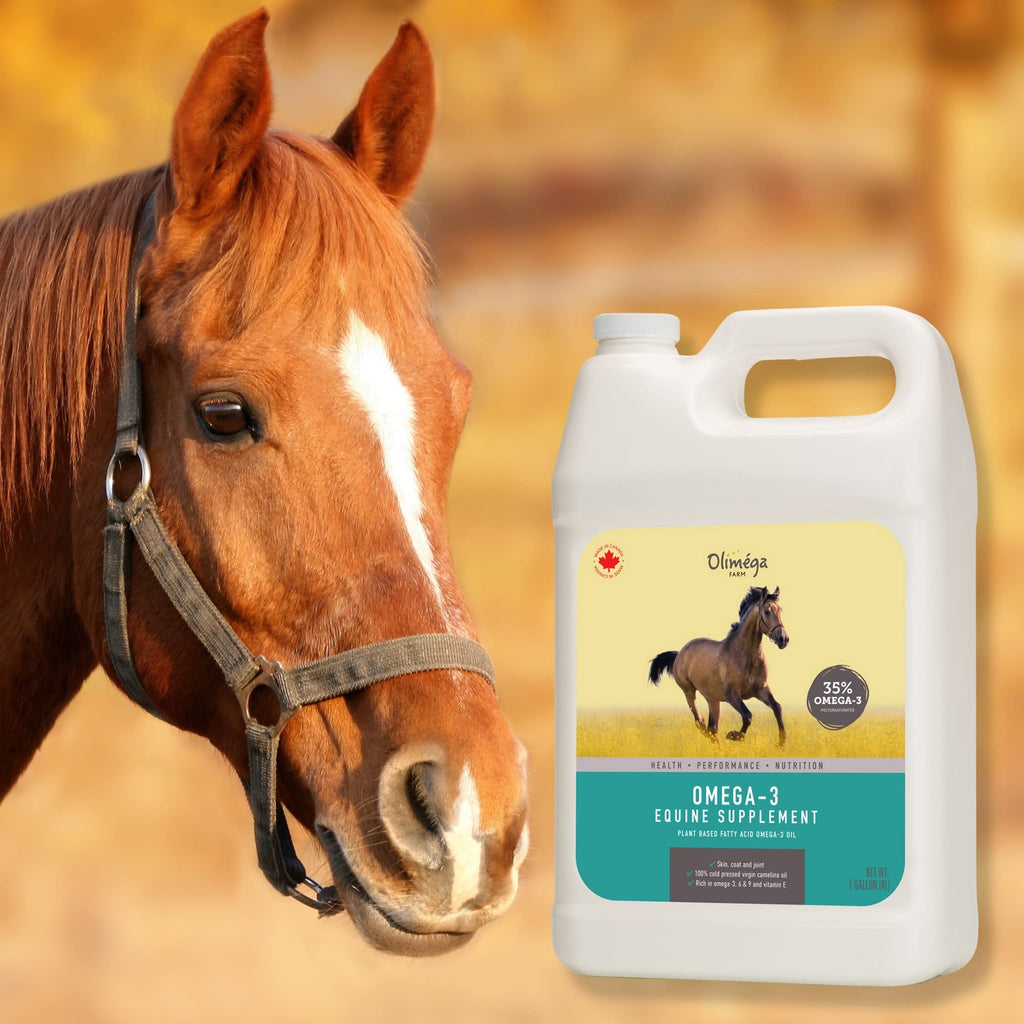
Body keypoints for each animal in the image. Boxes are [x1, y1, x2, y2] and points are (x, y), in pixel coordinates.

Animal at [648, 585, 790, 747]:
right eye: (767, 611)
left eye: (780, 610)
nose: (783, 639)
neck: (746, 656)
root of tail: (679, 654)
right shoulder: (732, 695)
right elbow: (748, 716)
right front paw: (733, 735)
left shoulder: (761, 689)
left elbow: (777, 708)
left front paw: (781, 743)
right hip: (689, 692)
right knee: (700, 722)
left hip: (713, 699)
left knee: (712, 728)